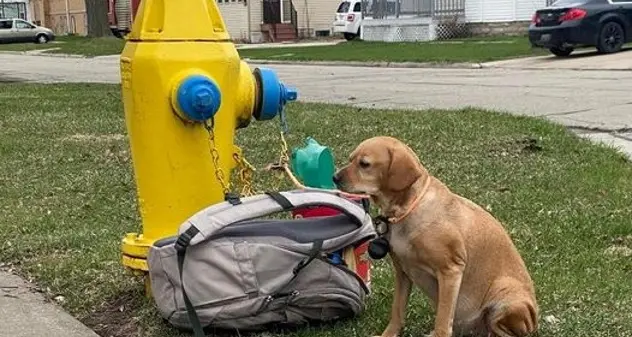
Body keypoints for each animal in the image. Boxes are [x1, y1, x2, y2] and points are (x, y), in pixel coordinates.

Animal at [334, 135, 536, 334]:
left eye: (364, 164)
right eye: (351, 159)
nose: (334, 177)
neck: (408, 209)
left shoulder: (451, 270)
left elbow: (443, 321)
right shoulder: (402, 272)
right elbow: (397, 311)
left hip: (505, 295)